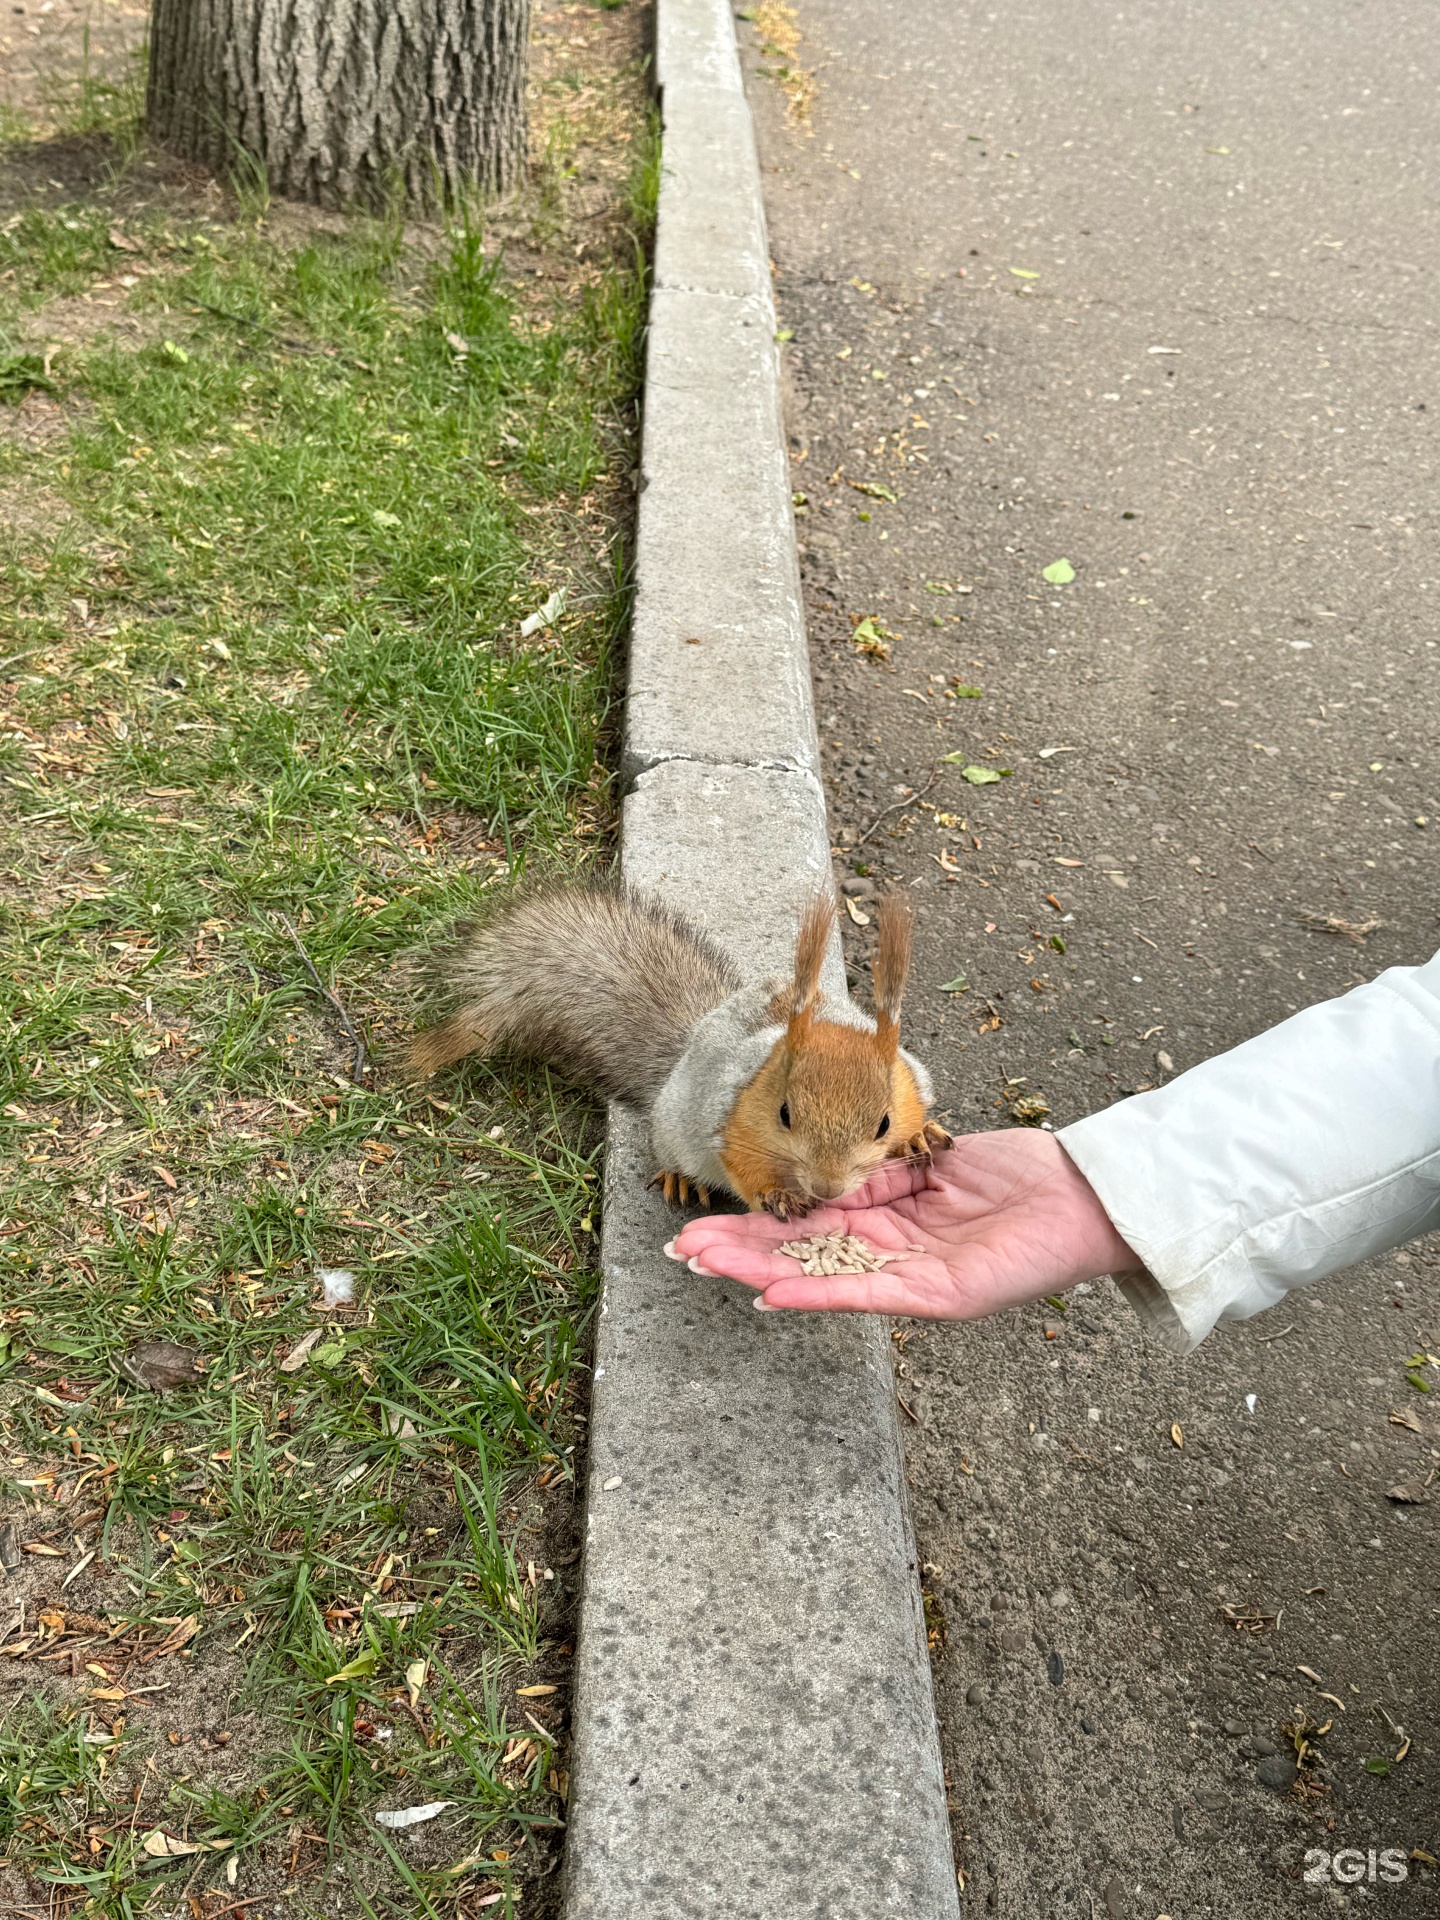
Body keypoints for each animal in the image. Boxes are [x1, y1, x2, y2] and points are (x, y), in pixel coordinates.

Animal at [408, 883, 948, 1213]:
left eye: (883, 1123)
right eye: (784, 1114)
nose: (827, 1189)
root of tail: (686, 1049)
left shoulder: (909, 1081)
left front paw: (919, 1135)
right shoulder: (730, 1123)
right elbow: (745, 1171)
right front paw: (777, 1197)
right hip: (674, 1125)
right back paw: (682, 1178)